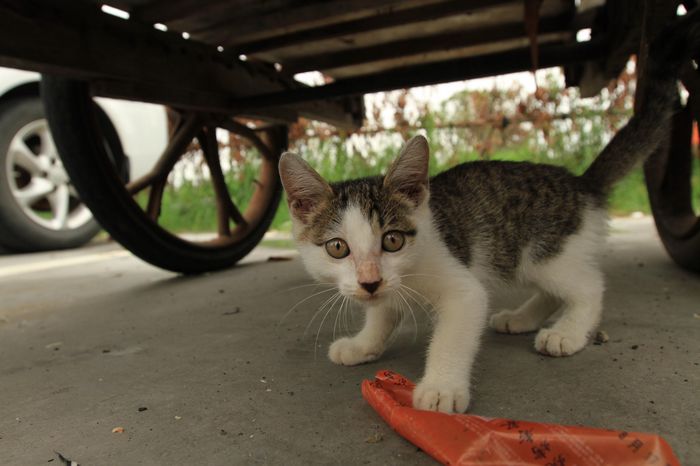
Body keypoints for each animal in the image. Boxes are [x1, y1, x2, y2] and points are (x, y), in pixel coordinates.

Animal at [278, 12, 696, 414]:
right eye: (337, 248)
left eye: (392, 240)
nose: (370, 281)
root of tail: (582, 183)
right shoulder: (389, 288)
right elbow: (382, 314)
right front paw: (362, 344)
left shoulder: (462, 289)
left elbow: (453, 332)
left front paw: (441, 388)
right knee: (556, 289)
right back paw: (521, 318)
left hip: (544, 252)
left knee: (588, 286)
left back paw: (568, 333)